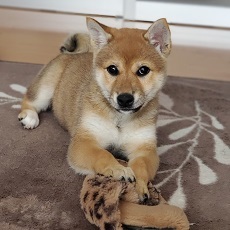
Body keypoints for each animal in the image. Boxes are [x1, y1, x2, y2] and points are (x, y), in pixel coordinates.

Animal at [18, 17, 171, 200]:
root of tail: (72, 54)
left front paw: (140, 186)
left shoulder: (144, 148)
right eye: (112, 69)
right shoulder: (84, 141)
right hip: (45, 88)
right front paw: (118, 169)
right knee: (30, 100)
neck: (120, 119)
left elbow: (141, 165)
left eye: (143, 70)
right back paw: (29, 117)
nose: (124, 99)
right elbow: (103, 154)